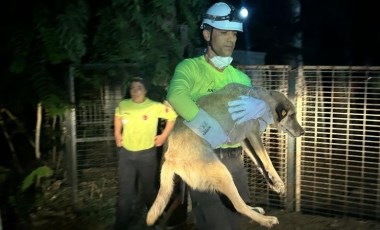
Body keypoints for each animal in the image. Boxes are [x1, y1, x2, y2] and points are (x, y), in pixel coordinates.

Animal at [147, 83, 304, 228]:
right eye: (292, 116)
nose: (302, 132)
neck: (264, 99)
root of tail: (170, 158)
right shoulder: (253, 135)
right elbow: (267, 161)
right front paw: (279, 181)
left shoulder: (246, 140)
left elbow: (260, 163)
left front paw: (274, 183)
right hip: (223, 173)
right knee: (238, 206)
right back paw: (265, 220)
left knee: (238, 203)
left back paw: (254, 209)